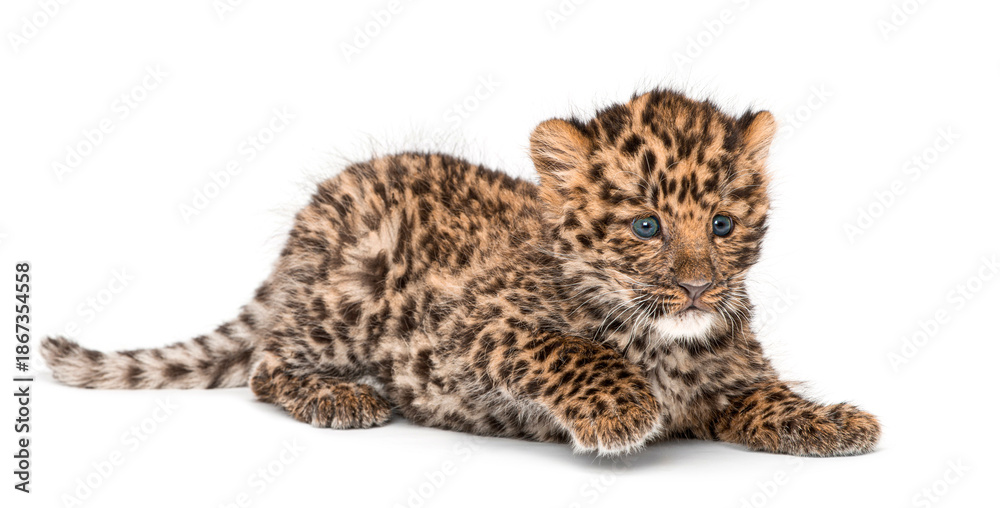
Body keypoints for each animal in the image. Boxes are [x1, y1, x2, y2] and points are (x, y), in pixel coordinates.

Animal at [42, 88, 881, 457]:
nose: (701, 287)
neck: (667, 339)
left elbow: (769, 397)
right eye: (646, 226)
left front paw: (834, 421)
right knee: (264, 361)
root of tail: (322, 204)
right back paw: (340, 398)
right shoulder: (469, 330)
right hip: (351, 303)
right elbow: (565, 348)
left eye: (722, 226)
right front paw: (622, 408)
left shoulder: (729, 385)